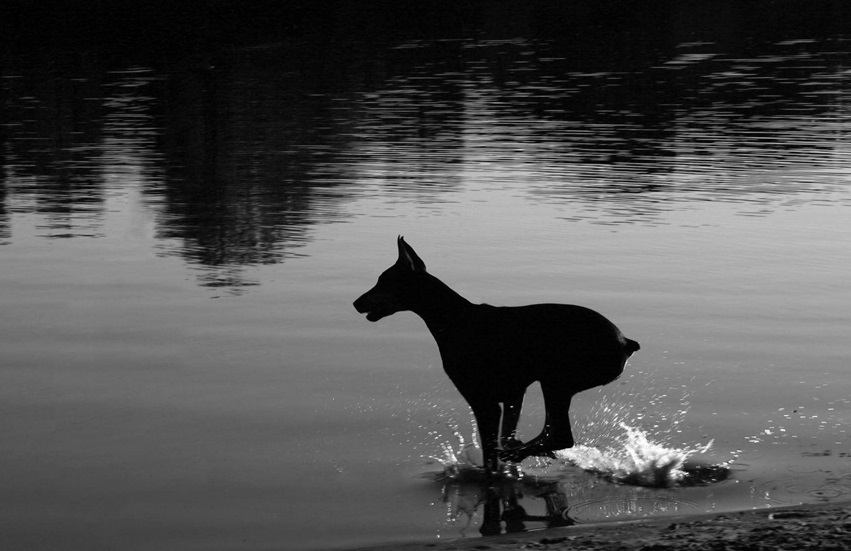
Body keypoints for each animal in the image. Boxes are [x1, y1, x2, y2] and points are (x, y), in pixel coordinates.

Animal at [352, 235, 640, 472]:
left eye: (383, 282)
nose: (356, 303)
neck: (453, 319)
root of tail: (625, 341)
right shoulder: (513, 394)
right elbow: (505, 435)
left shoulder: (482, 401)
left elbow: (491, 453)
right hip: (555, 384)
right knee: (551, 433)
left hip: (556, 380)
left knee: (560, 435)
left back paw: (518, 453)